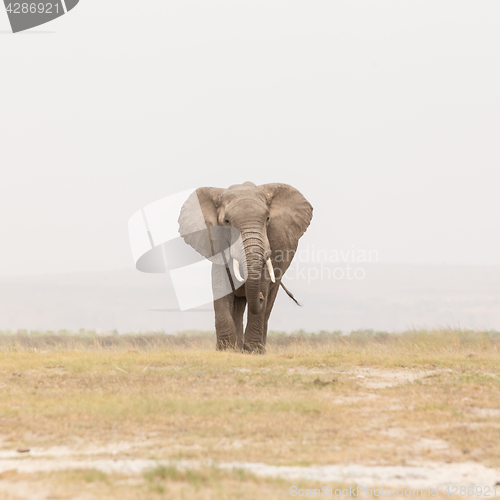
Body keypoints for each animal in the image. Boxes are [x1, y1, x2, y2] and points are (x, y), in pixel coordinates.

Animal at [179, 182, 312, 354]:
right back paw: (236, 348)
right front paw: (225, 350)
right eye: (226, 221)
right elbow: (221, 287)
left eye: (267, 219)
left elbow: (262, 284)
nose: (260, 297)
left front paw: (252, 351)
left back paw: (256, 348)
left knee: (268, 303)